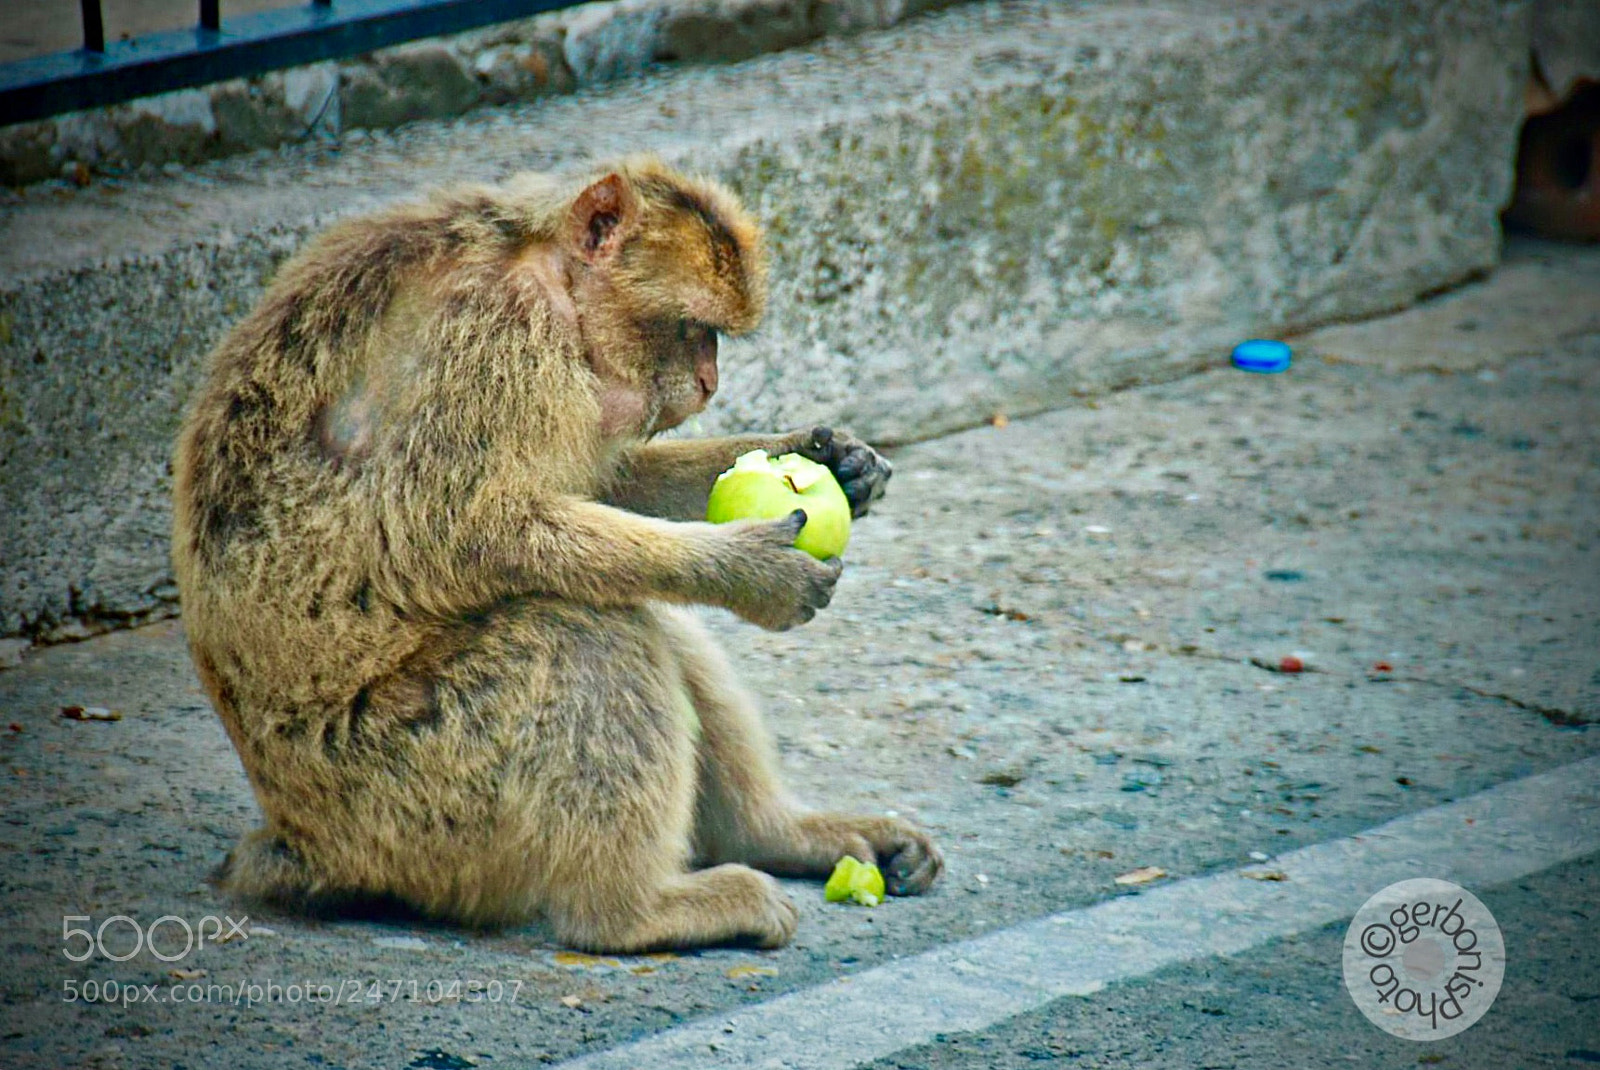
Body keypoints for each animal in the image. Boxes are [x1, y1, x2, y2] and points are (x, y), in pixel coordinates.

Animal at [171, 156, 942, 952]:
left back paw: (774, 835)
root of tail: (301, 840)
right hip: (407, 790)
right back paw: (630, 911)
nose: (710, 384)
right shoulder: (492, 341)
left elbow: (598, 483)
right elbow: (473, 531)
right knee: (576, 630)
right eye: (692, 329)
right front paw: (746, 571)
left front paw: (829, 457)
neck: (546, 273)